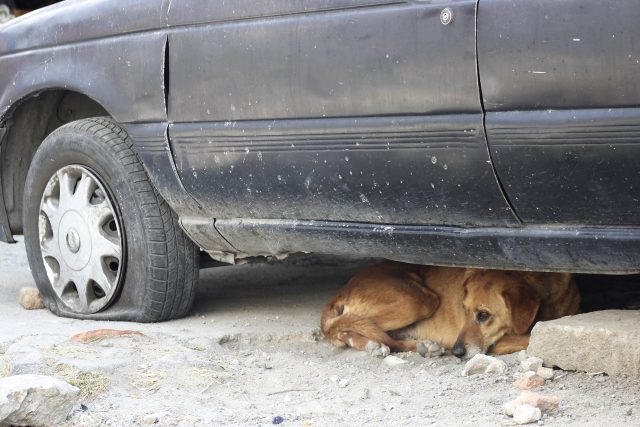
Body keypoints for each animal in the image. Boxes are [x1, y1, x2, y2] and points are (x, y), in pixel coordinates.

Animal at [320, 262, 580, 360]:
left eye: (483, 315)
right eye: (464, 311)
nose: (456, 352)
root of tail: (340, 292)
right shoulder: (499, 342)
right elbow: (530, 337)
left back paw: (423, 346)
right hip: (418, 301)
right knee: (344, 325)